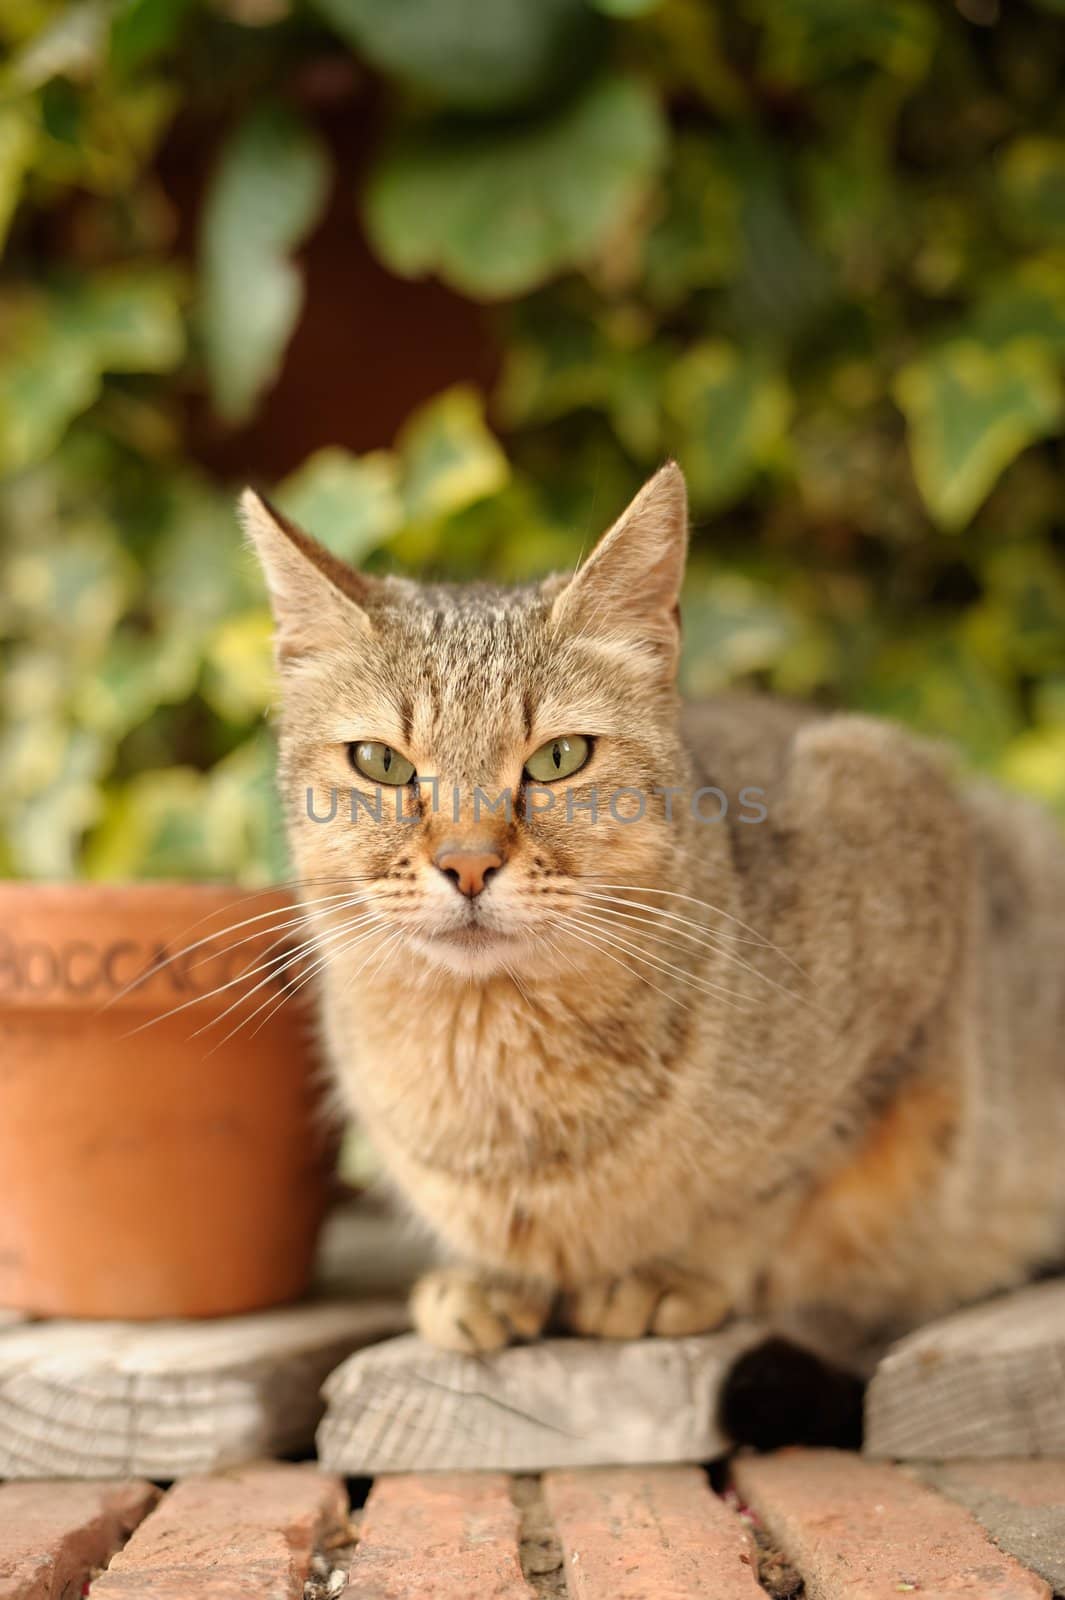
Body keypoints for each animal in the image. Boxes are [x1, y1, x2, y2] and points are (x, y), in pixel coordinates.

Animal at [239, 467, 1061, 1356]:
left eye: (558, 758)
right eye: (381, 763)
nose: (467, 863)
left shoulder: (896, 838)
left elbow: (770, 1192)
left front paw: (676, 1271)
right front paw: (489, 1278)